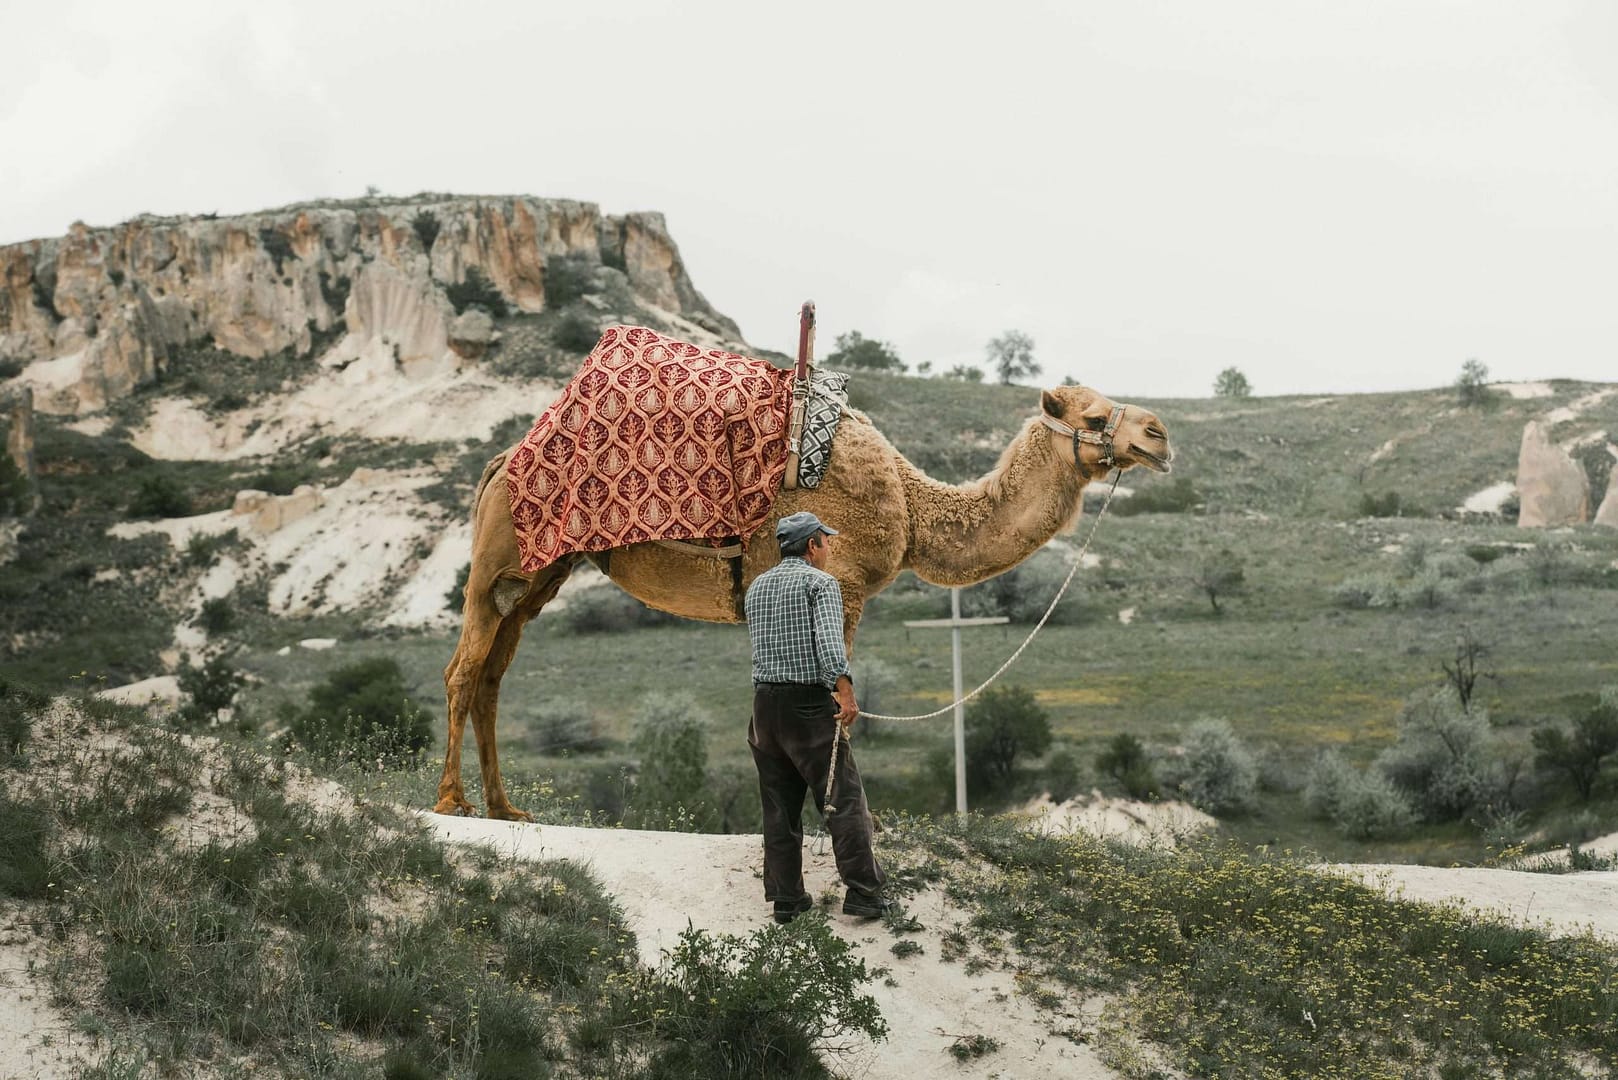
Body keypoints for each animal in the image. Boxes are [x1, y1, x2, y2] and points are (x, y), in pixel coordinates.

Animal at [436, 383, 1173, 820]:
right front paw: (841, 818)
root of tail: (500, 462)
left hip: (538, 576)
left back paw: (504, 809)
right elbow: (837, 705)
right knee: (463, 671)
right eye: (1096, 416)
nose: (1160, 432)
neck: (908, 502)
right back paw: (451, 803)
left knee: (493, 677)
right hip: (499, 561)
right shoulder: (843, 587)